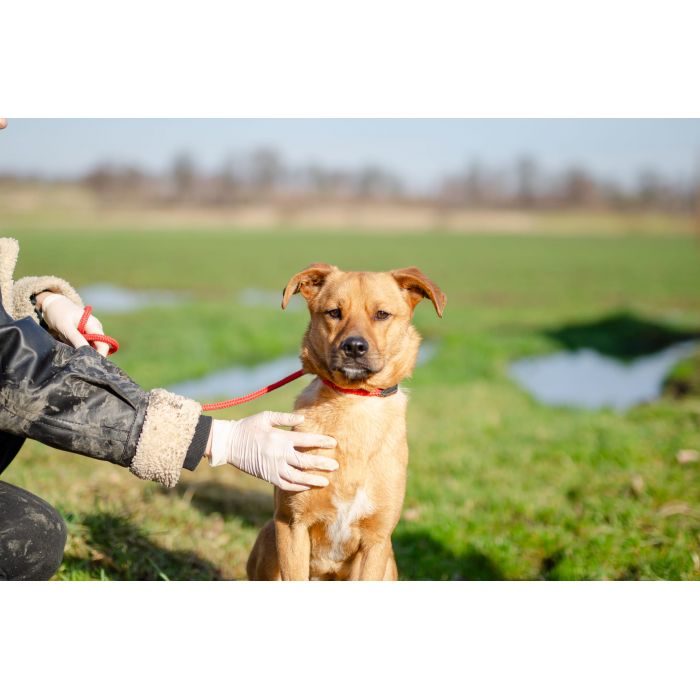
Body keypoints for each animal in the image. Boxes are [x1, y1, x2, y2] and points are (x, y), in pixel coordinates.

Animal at [246, 262, 446, 580]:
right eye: (334, 312)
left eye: (382, 314)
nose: (354, 347)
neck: (353, 402)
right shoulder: (292, 524)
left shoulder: (376, 541)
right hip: (268, 536)